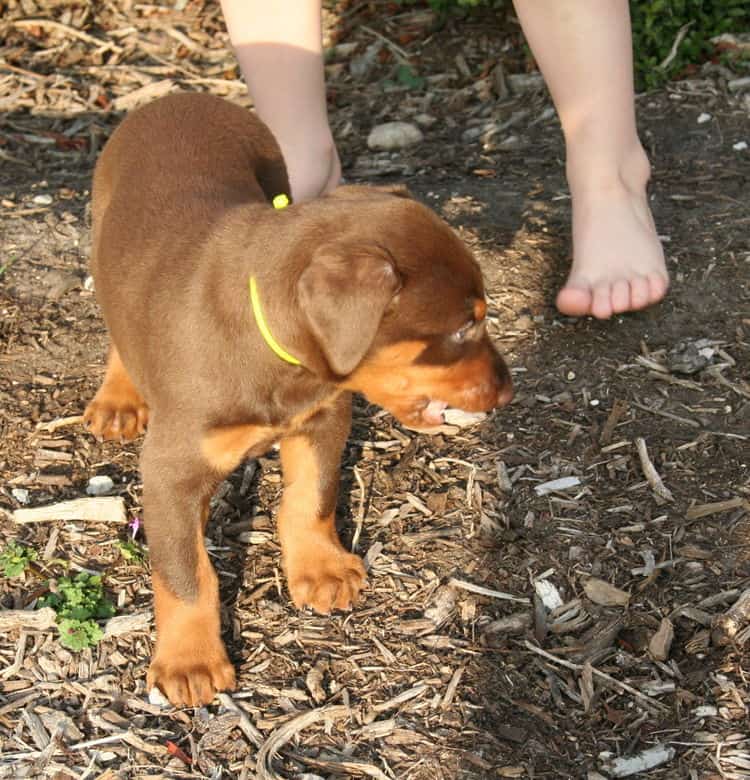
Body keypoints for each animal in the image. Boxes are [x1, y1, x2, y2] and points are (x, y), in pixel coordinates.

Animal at [85, 93, 516, 708]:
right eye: (463, 327)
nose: (507, 388)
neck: (275, 353)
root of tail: (182, 95)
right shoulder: (171, 470)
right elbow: (186, 573)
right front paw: (190, 662)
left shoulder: (324, 417)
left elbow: (313, 495)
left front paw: (322, 569)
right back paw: (119, 398)